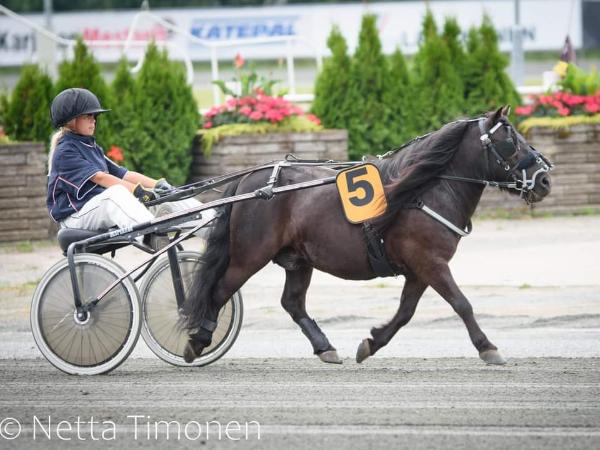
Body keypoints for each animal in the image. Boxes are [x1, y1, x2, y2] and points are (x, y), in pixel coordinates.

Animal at [182, 106, 552, 365]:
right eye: (510, 140)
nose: (545, 179)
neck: (424, 190)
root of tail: (252, 179)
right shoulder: (431, 262)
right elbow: (462, 303)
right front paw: (488, 348)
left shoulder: (419, 269)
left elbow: (405, 313)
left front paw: (371, 343)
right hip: (250, 254)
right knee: (219, 290)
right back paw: (197, 342)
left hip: (298, 259)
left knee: (292, 302)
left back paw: (325, 348)